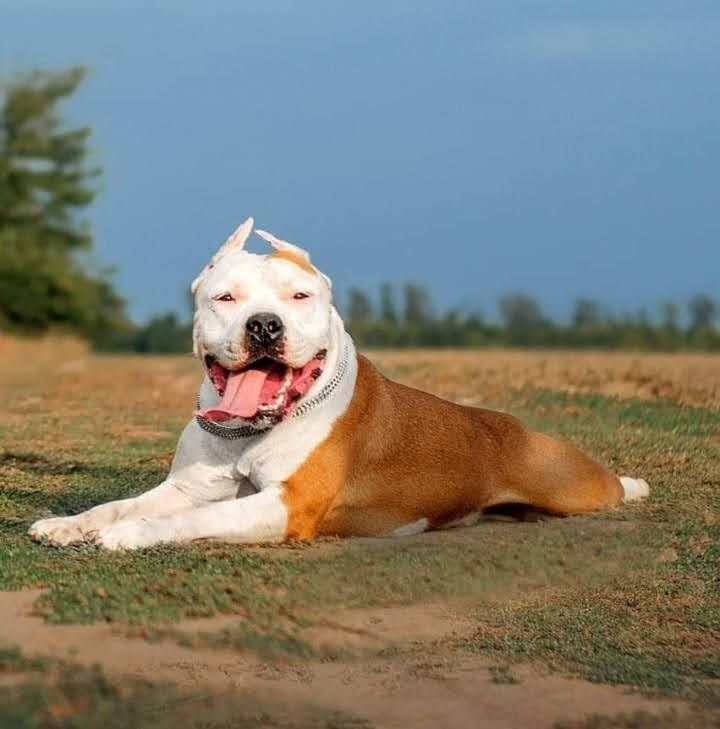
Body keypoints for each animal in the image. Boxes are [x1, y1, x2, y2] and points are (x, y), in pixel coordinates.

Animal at [28, 219, 648, 548]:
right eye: (225, 297)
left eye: (300, 296)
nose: (264, 324)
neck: (253, 430)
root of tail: (512, 426)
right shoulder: (188, 485)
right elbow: (121, 504)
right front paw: (69, 524)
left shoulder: (286, 505)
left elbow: (192, 519)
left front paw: (134, 534)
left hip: (570, 482)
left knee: (610, 486)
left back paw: (633, 483)